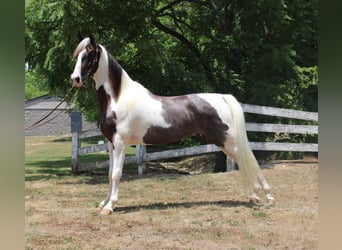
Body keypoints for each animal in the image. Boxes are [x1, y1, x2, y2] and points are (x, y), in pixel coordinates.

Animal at [70, 35, 276, 215]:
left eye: (88, 55)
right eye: (78, 55)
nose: (75, 79)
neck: (118, 98)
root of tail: (223, 97)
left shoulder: (121, 142)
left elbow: (116, 174)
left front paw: (110, 206)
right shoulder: (111, 143)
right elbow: (109, 173)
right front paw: (104, 203)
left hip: (228, 141)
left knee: (251, 160)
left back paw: (268, 197)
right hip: (224, 142)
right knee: (243, 161)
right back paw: (254, 196)